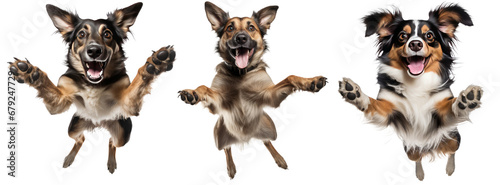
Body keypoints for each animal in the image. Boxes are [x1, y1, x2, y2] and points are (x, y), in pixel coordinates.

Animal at [7, 2, 176, 173]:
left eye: (107, 34)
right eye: (81, 34)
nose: (94, 50)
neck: (94, 84)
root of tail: (98, 123)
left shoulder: (129, 105)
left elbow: (137, 82)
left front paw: (154, 64)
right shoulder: (58, 103)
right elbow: (49, 87)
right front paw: (30, 72)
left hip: (122, 134)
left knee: (112, 142)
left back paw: (111, 162)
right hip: (73, 126)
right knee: (80, 138)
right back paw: (70, 158)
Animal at [178, 1, 326, 178]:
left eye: (251, 28)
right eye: (230, 28)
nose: (241, 38)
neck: (241, 73)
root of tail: (245, 138)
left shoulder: (270, 95)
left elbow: (290, 77)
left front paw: (311, 81)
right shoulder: (217, 104)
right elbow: (204, 88)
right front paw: (192, 92)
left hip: (270, 127)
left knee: (267, 141)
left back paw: (279, 159)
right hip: (218, 134)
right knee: (227, 148)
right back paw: (231, 168)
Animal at [340, 3, 480, 181]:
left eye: (429, 36)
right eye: (402, 36)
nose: (415, 44)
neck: (416, 81)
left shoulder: (441, 115)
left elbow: (451, 107)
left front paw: (466, 100)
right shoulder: (388, 111)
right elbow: (372, 103)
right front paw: (355, 93)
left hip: (453, 138)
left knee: (452, 151)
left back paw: (450, 168)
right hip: (410, 148)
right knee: (418, 158)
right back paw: (420, 174)